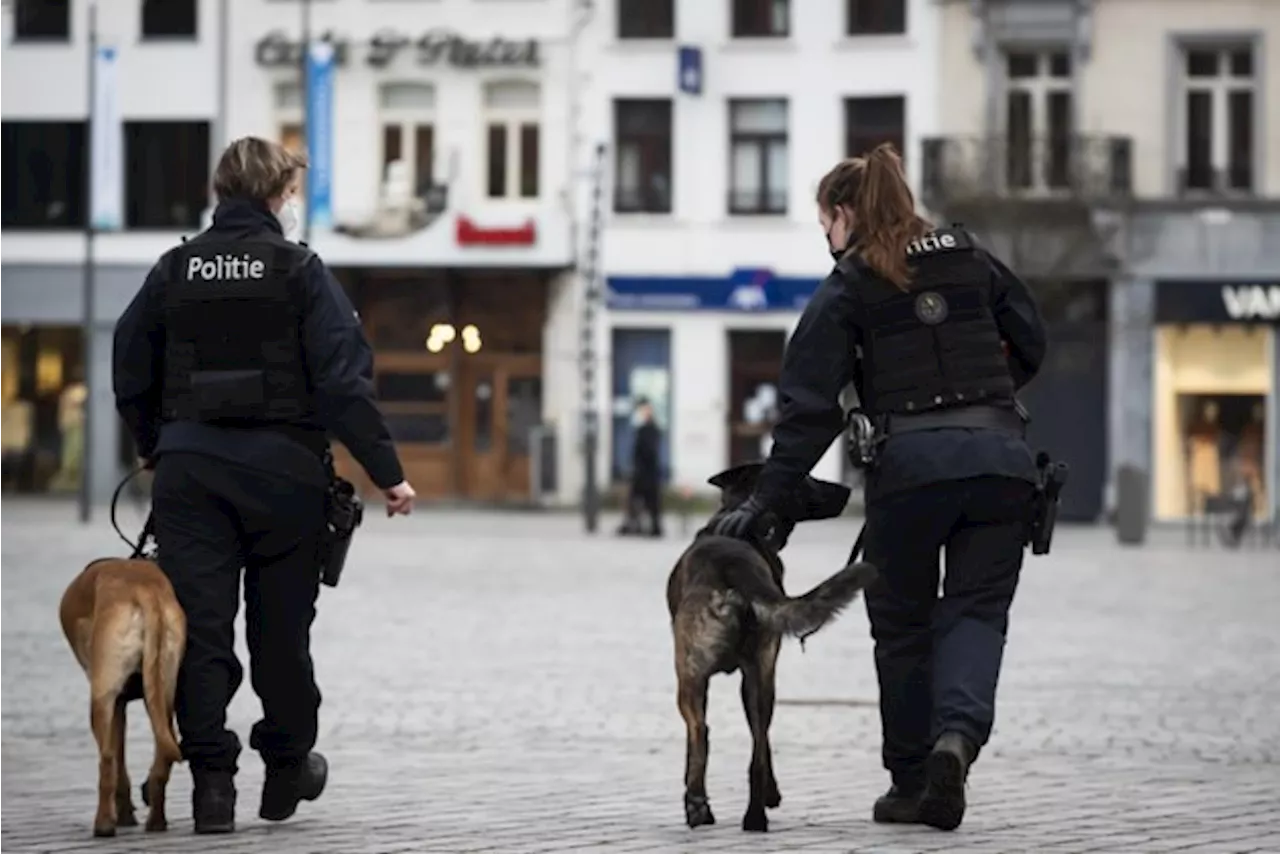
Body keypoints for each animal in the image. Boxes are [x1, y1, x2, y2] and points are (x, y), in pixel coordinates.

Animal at [58, 558, 185, 839]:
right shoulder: (123, 705)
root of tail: (144, 588)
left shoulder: (114, 703)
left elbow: (117, 766)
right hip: (162, 692)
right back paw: (156, 822)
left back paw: (104, 824)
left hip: (102, 698)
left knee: (107, 760)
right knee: (162, 759)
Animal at [665, 463, 875, 829]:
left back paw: (699, 807)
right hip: (760, 678)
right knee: (758, 746)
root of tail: (732, 565)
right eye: (808, 478)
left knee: (701, 732)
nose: (849, 489)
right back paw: (755, 816)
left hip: (693, 677)